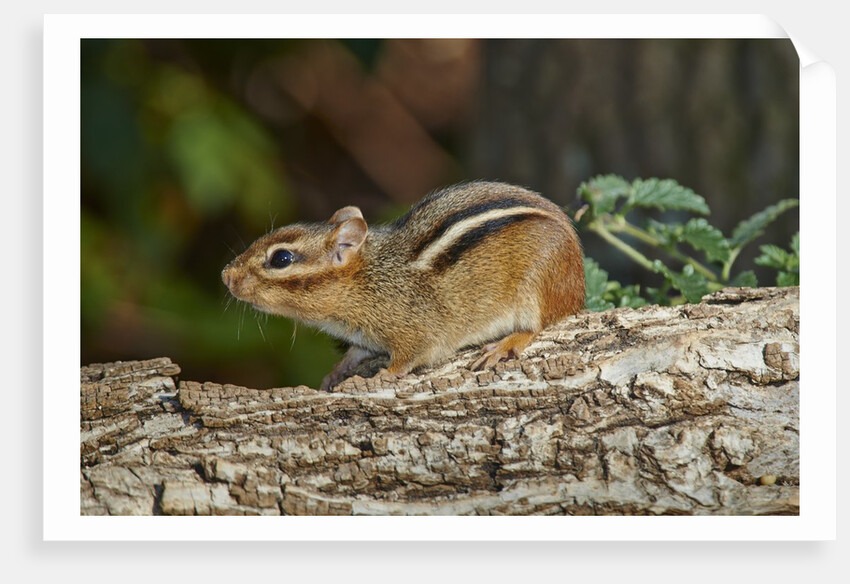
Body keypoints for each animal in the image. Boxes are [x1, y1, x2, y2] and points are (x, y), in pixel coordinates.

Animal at [222, 181, 585, 390]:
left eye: (281, 258)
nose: (226, 275)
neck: (370, 278)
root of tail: (578, 284)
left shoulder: (417, 331)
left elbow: (409, 357)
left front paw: (384, 374)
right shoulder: (364, 338)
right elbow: (356, 352)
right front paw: (337, 371)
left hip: (537, 284)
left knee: (536, 326)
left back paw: (503, 345)